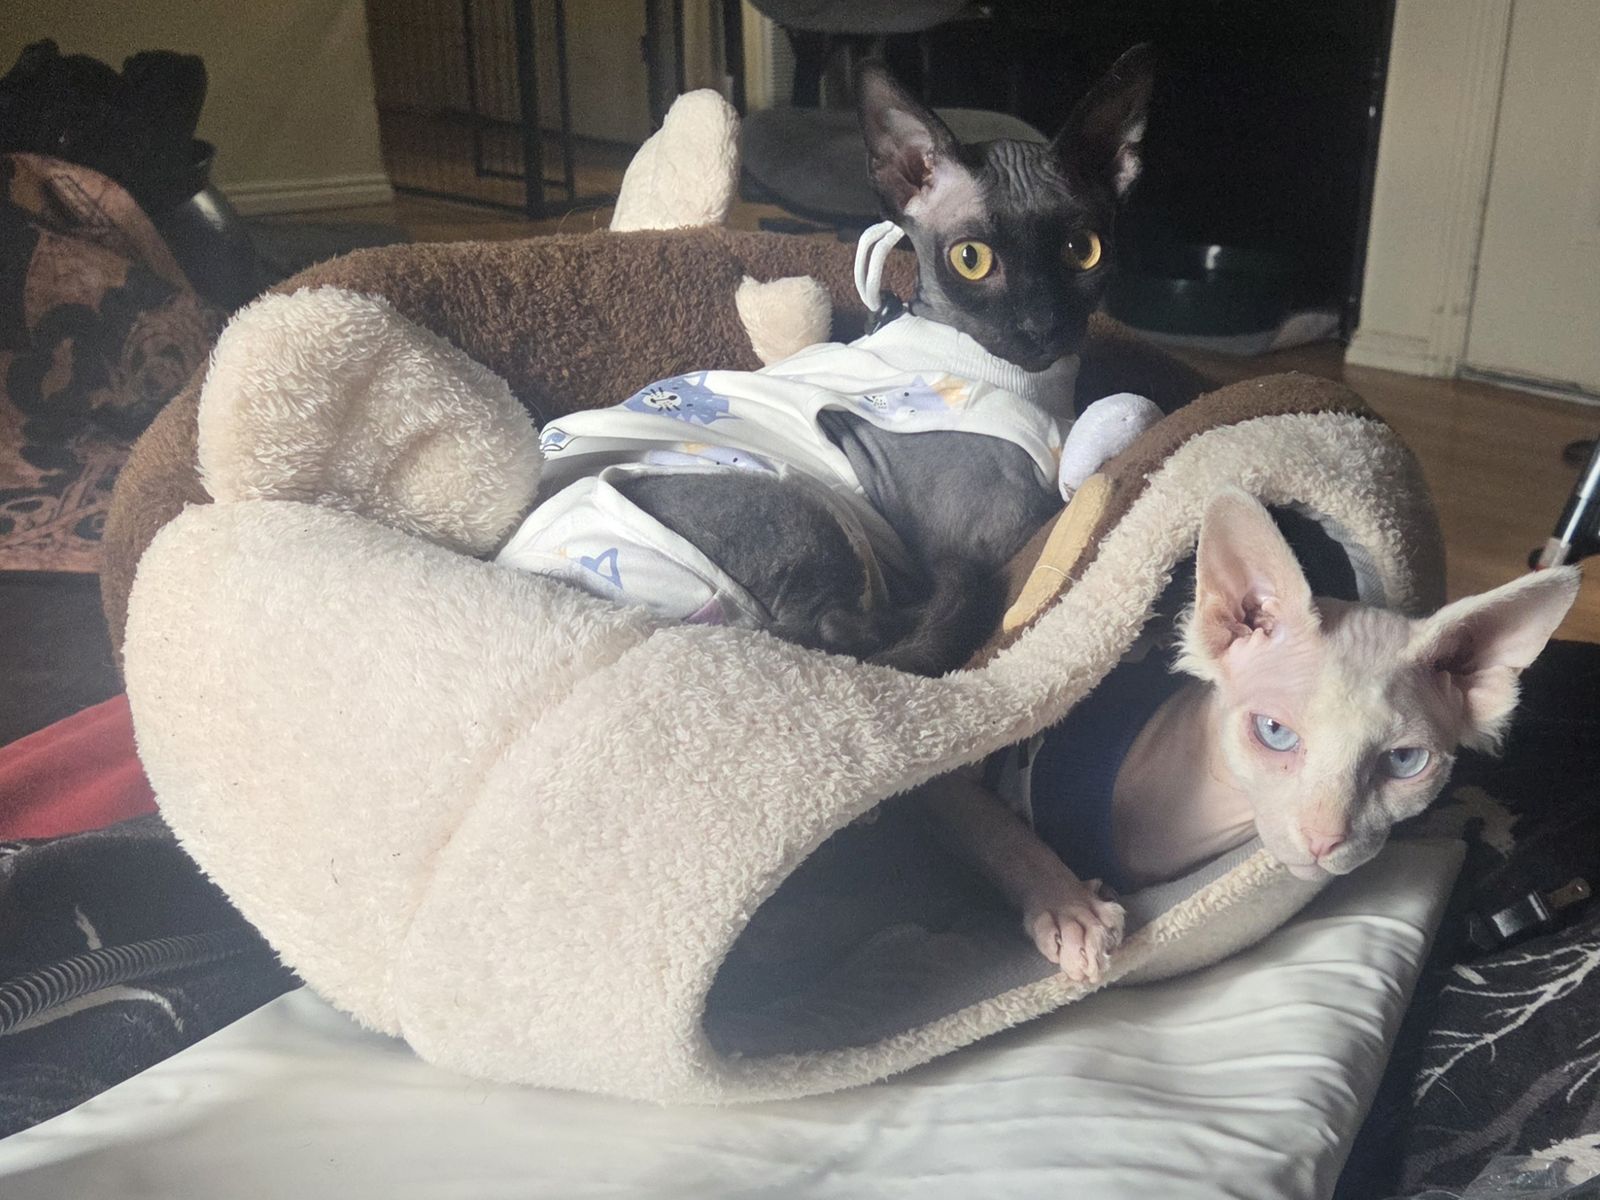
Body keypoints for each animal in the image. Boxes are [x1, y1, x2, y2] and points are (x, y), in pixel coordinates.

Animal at [497, 48, 1157, 676]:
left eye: (1083, 251)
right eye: (971, 259)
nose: (1041, 326)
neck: (1036, 384)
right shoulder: (992, 535)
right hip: (812, 512)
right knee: (841, 632)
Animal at [917, 489, 1582, 983]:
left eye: (1405, 761)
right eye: (1274, 733)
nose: (1325, 838)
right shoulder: (956, 776)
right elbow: (996, 829)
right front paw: (1069, 909)